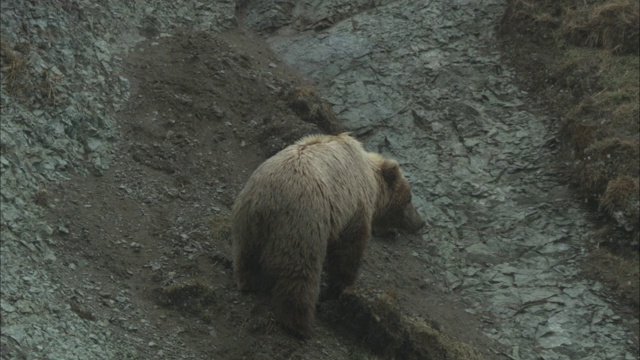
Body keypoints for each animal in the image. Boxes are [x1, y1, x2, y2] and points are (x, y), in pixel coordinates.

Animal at [231, 132, 424, 338]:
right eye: (409, 199)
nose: (420, 223)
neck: (370, 177)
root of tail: (269, 199)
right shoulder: (354, 206)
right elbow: (349, 251)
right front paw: (339, 289)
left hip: (247, 221)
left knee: (246, 255)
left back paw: (248, 283)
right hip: (304, 223)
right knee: (300, 275)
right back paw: (300, 325)